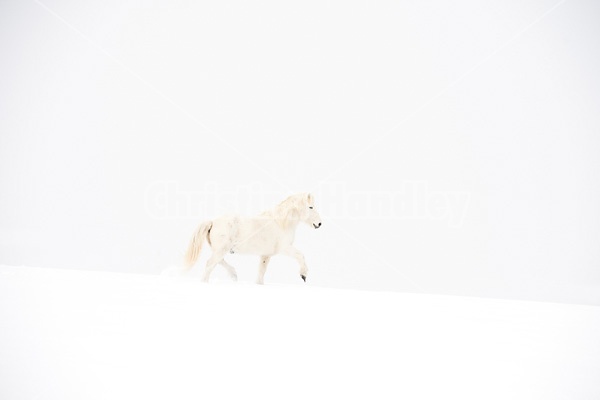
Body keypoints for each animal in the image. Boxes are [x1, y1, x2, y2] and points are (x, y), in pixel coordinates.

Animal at [184, 193, 322, 284]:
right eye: (310, 207)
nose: (319, 224)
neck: (280, 223)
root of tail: (213, 222)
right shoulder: (284, 248)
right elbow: (300, 255)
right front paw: (303, 275)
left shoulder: (266, 255)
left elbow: (261, 274)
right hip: (221, 250)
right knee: (210, 264)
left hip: (220, 250)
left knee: (219, 261)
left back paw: (233, 275)